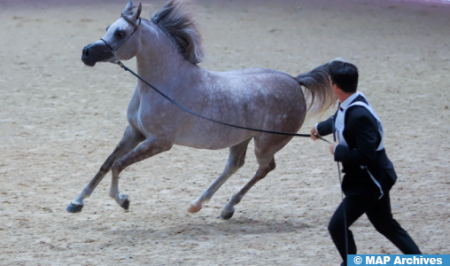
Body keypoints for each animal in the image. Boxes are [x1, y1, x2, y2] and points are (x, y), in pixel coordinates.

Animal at [66, 0, 334, 219]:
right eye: (108, 27)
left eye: (120, 32)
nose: (86, 53)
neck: (163, 84)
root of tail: (295, 81)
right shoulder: (134, 132)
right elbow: (106, 164)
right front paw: (76, 203)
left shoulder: (159, 142)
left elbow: (119, 164)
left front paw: (122, 200)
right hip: (241, 138)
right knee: (234, 165)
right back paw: (199, 204)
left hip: (265, 143)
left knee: (265, 168)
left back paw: (227, 208)